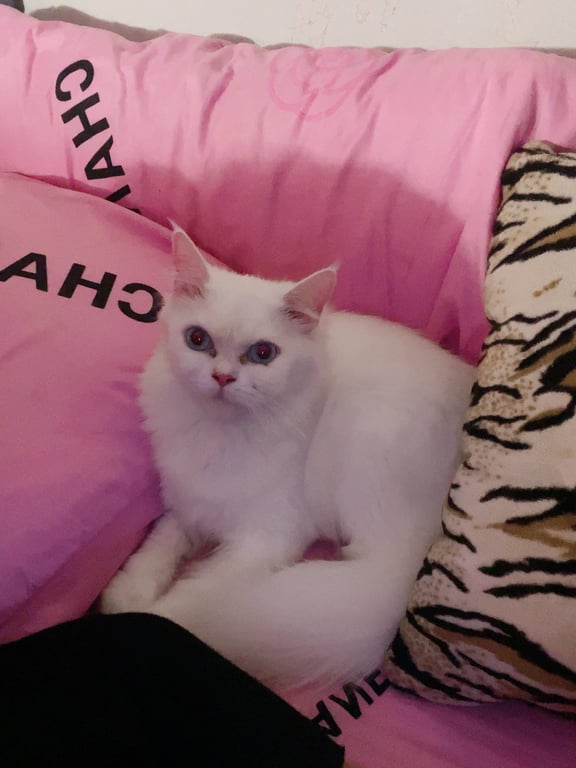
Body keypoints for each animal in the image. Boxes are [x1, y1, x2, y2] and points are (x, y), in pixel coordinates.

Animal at [101, 225, 474, 689]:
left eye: (263, 353)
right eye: (197, 340)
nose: (222, 377)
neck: (221, 435)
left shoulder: (266, 538)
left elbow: (194, 598)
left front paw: (149, 616)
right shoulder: (189, 506)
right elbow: (157, 550)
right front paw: (125, 595)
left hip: (369, 446)